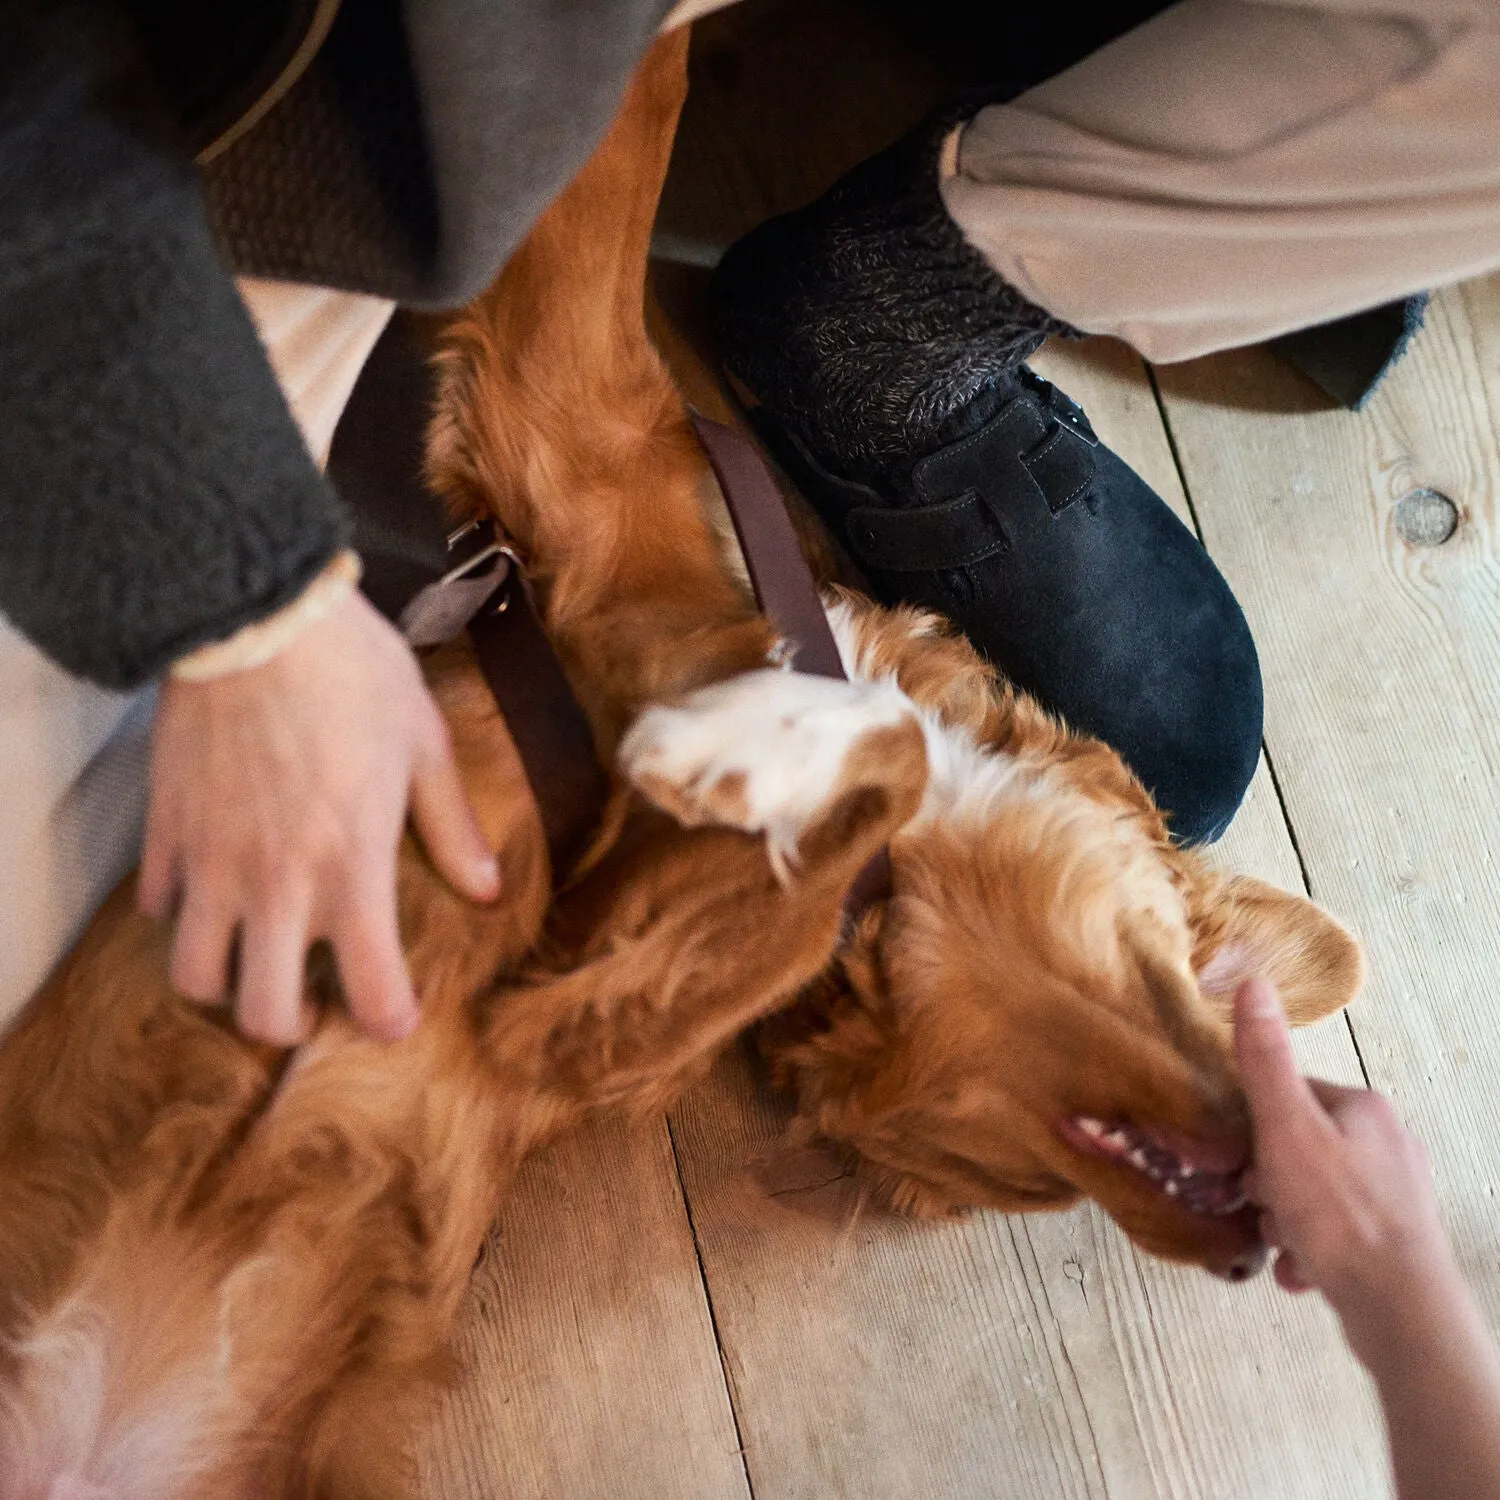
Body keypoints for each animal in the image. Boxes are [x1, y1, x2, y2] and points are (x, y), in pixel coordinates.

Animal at [0, 26, 1362, 1500]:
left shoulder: (559, 1014)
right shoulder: (573, 418)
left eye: (979, 1185)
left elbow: (838, 806)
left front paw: (739, 757)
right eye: (1019, 1173)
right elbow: (628, 132)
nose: (1269, 1233)